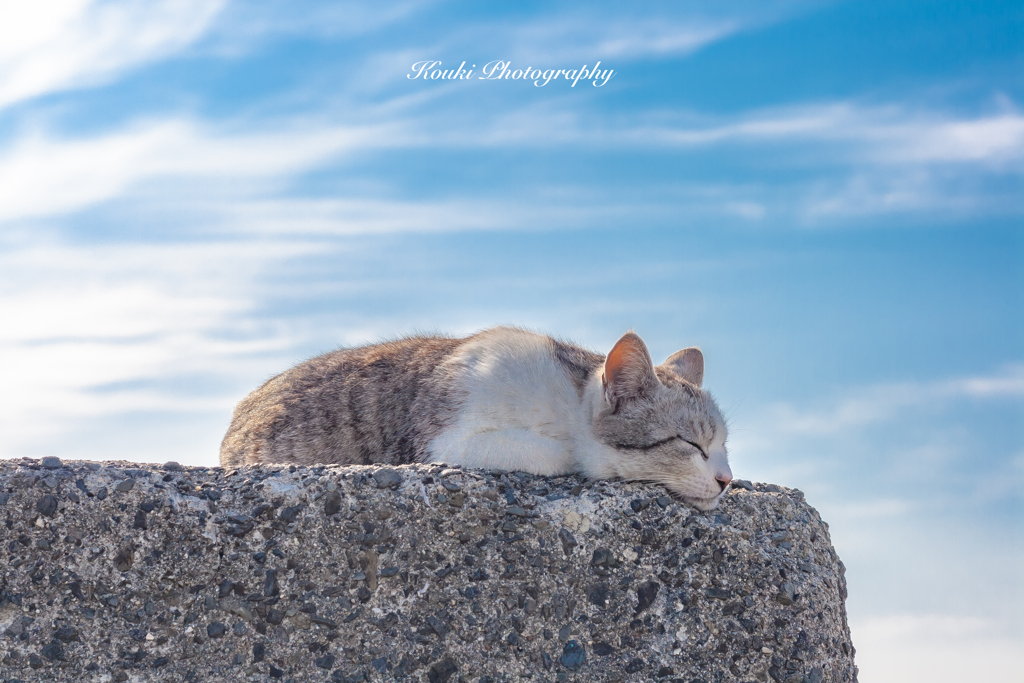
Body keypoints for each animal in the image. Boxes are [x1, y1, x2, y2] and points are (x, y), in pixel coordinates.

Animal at [223, 327, 733, 509]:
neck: (564, 401)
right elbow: (567, 454)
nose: (728, 480)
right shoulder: (448, 441)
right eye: (692, 445)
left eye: (724, 446)